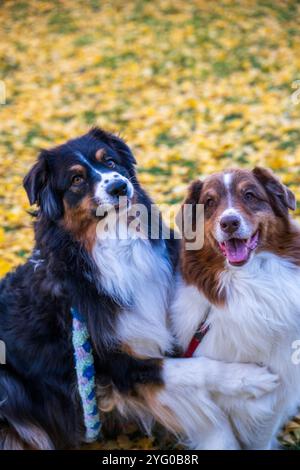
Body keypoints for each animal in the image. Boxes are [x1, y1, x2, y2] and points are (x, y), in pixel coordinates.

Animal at [0, 127, 278, 448]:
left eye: (110, 161)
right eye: (76, 179)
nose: (119, 186)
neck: (117, 245)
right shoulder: (117, 365)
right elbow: (192, 368)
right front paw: (249, 378)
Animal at [171, 167, 300, 450]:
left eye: (250, 195)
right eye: (209, 202)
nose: (229, 223)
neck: (247, 284)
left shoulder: (277, 395)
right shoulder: (204, 406)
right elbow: (221, 440)